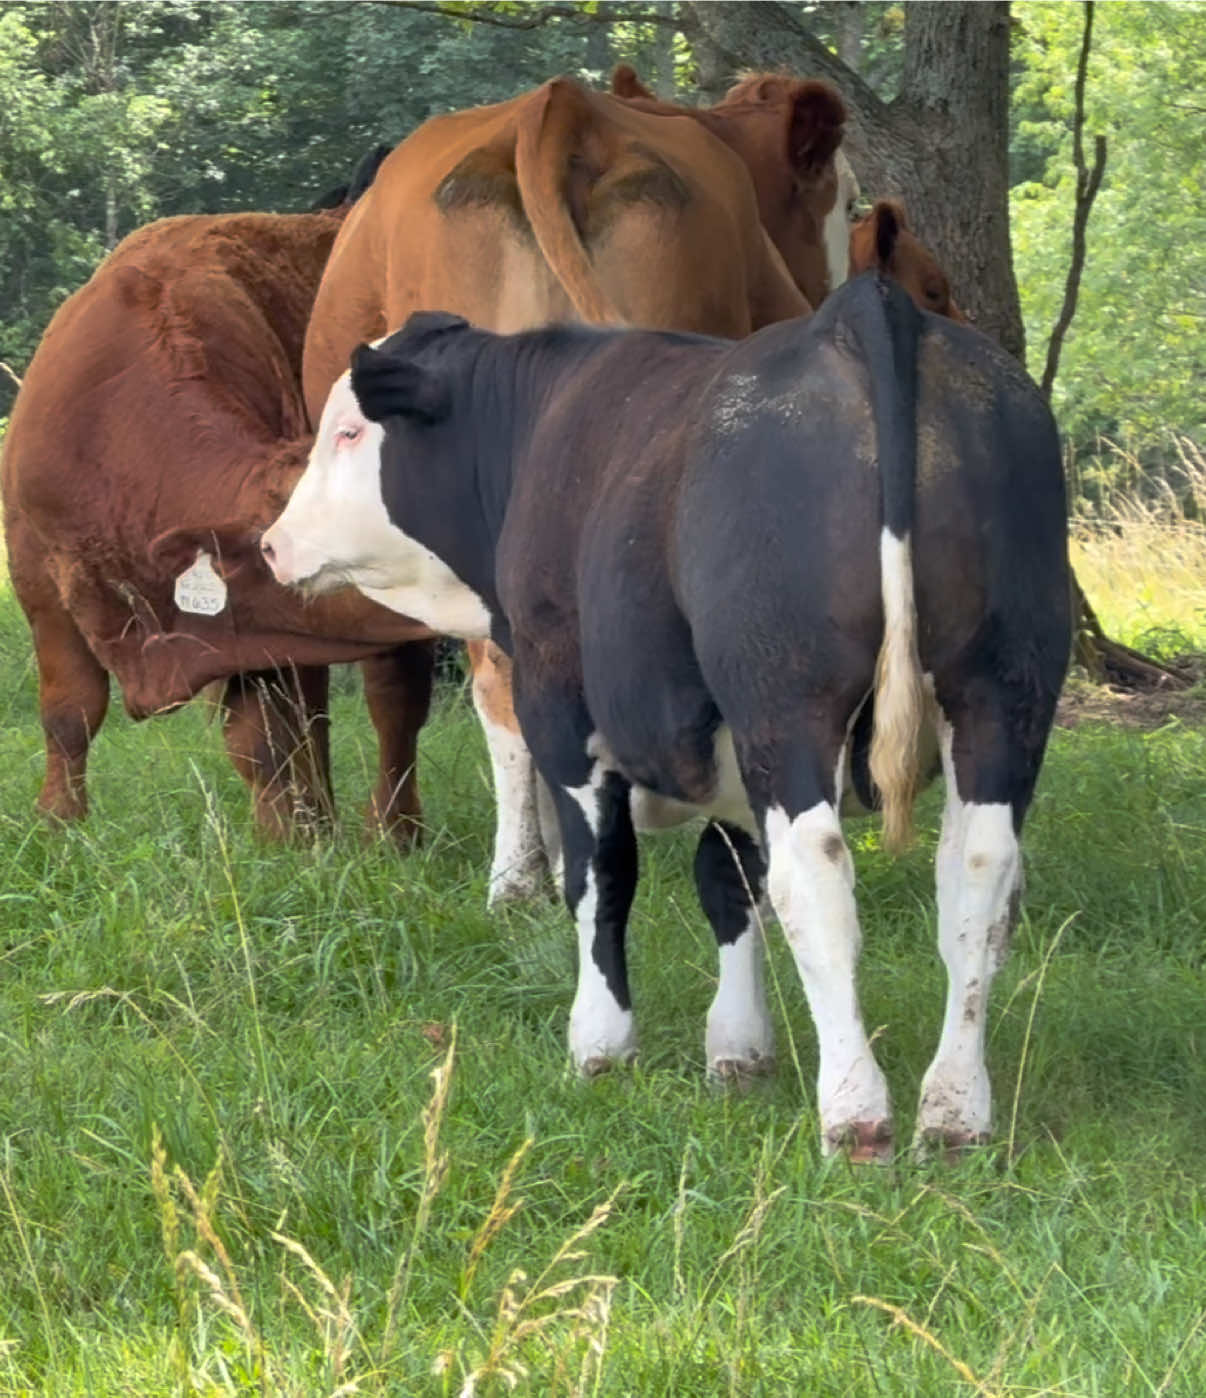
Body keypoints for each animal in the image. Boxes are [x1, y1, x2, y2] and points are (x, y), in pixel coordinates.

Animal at [1, 206, 435, 838]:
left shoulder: (258, 629)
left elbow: (263, 737)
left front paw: (284, 840)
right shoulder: (39, 579)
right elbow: (69, 712)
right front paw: (58, 824)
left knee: (391, 701)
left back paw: (392, 832)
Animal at [259, 276, 1072, 1159]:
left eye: (347, 431)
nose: (272, 544)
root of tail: (864, 309)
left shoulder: (562, 708)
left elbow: (601, 875)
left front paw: (601, 1043)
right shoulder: (729, 752)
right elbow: (727, 880)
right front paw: (739, 1050)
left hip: (785, 696)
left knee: (816, 878)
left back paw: (856, 1112)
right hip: (1002, 690)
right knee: (978, 876)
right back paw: (955, 1111)